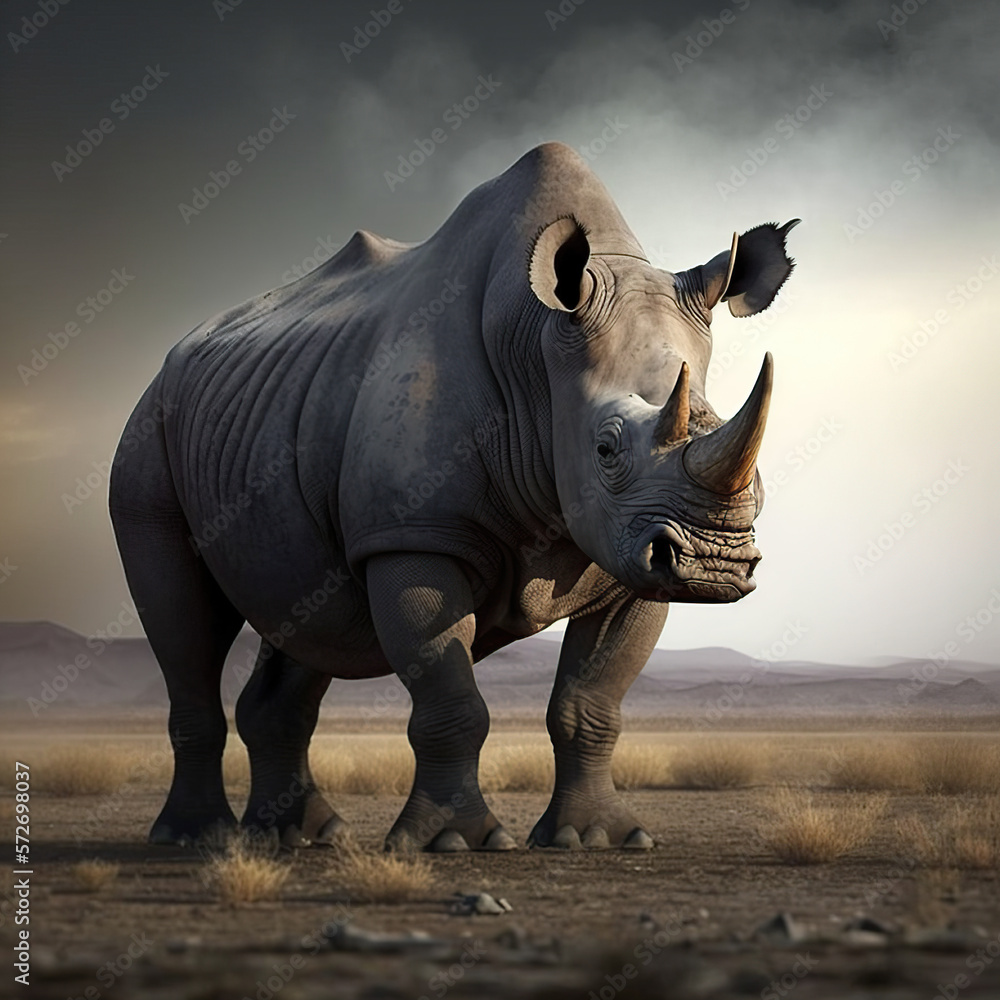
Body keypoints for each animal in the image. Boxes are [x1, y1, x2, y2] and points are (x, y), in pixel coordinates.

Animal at [110, 142, 798, 852]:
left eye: (758, 474)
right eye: (606, 449)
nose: (714, 564)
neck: (537, 353)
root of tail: (174, 357)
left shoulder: (631, 556)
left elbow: (591, 703)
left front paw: (596, 839)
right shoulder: (412, 534)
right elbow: (451, 700)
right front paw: (454, 842)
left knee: (309, 612)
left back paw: (304, 837)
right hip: (149, 430)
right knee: (184, 619)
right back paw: (195, 838)